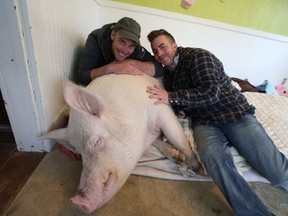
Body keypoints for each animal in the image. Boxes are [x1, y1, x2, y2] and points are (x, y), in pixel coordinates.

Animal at [42, 74, 202, 214]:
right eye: (79, 152)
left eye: (96, 141)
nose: (76, 201)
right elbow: (159, 141)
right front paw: (178, 158)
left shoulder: (160, 108)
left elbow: (177, 138)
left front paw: (198, 169)